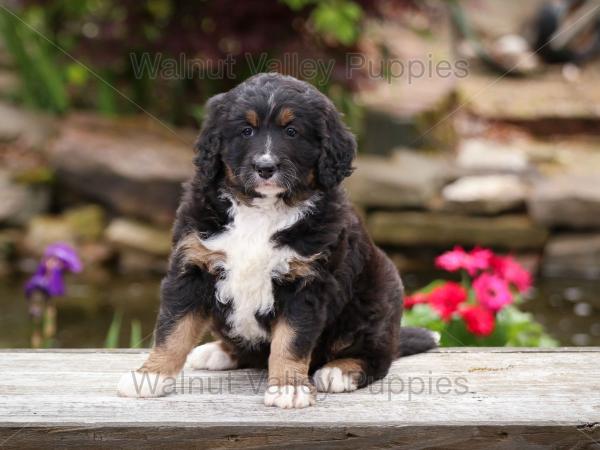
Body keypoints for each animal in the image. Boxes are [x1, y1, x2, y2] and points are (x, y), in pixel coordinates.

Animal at [118, 73, 436, 408]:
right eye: (246, 130)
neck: (261, 211)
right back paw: (216, 351)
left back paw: (340, 371)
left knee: (378, 356)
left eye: (292, 132)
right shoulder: (192, 267)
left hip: (379, 293)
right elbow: (173, 329)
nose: (265, 167)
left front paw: (288, 387)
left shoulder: (306, 283)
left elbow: (291, 341)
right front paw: (149, 376)